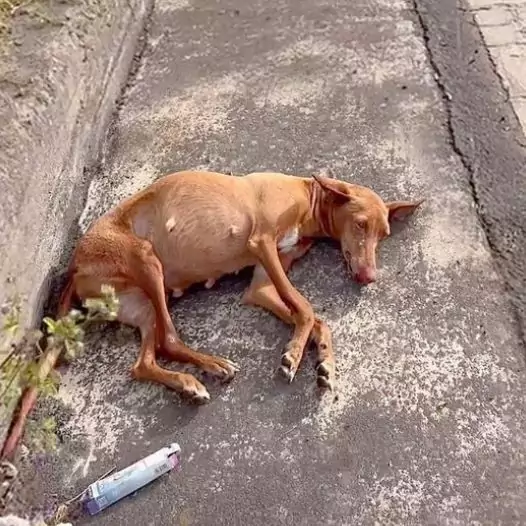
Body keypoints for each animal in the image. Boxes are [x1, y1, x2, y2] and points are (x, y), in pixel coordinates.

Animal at [58, 171, 424, 402]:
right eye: (360, 225)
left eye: (384, 234)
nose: (369, 277)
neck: (308, 197)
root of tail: (74, 268)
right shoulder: (262, 242)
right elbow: (305, 309)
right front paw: (294, 354)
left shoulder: (262, 284)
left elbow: (315, 319)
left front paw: (325, 361)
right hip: (146, 259)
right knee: (169, 340)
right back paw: (212, 367)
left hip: (142, 305)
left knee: (144, 362)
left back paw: (187, 383)